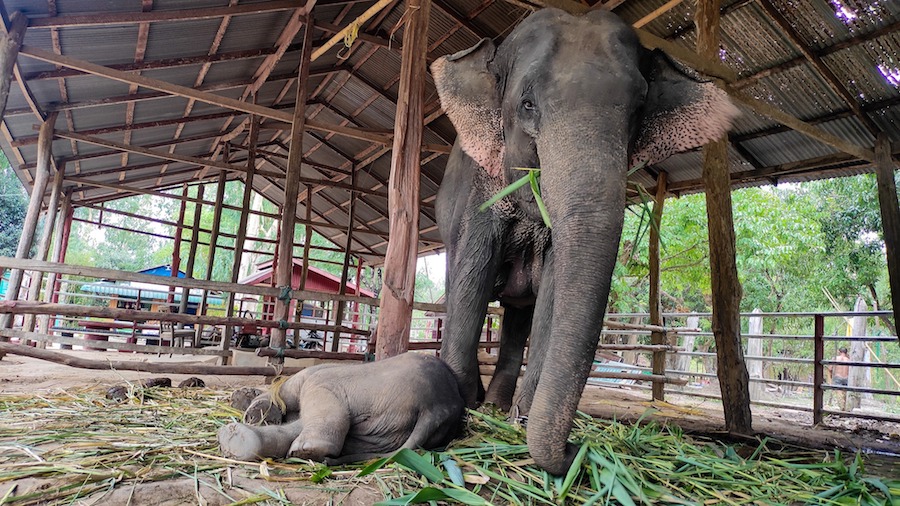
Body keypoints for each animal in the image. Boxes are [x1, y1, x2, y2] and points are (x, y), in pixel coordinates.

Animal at [217, 354, 464, 464]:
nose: (235, 397)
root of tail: (437, 405)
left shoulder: (301, 381)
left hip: (355, 388)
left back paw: (306, 451)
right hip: (383, 431)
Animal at [430, 7, 740, 474]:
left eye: (638, 110)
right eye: (527, 105)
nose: (576, 449)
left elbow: (554, 292)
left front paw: (521, 421)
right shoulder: (478, 189)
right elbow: (472, 276)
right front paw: (461, 410)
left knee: (519, 317)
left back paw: (500, 409)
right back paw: (487, 406)